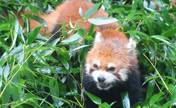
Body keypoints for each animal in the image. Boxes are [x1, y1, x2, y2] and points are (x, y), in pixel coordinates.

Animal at [13, 0, 142, 107]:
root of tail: (69, 2)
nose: (100, 78)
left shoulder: (132, 80)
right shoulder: (88, 82)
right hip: (60, 35)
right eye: (95, 66)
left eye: (111, 68)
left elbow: (134, 98)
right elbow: (90, 99)